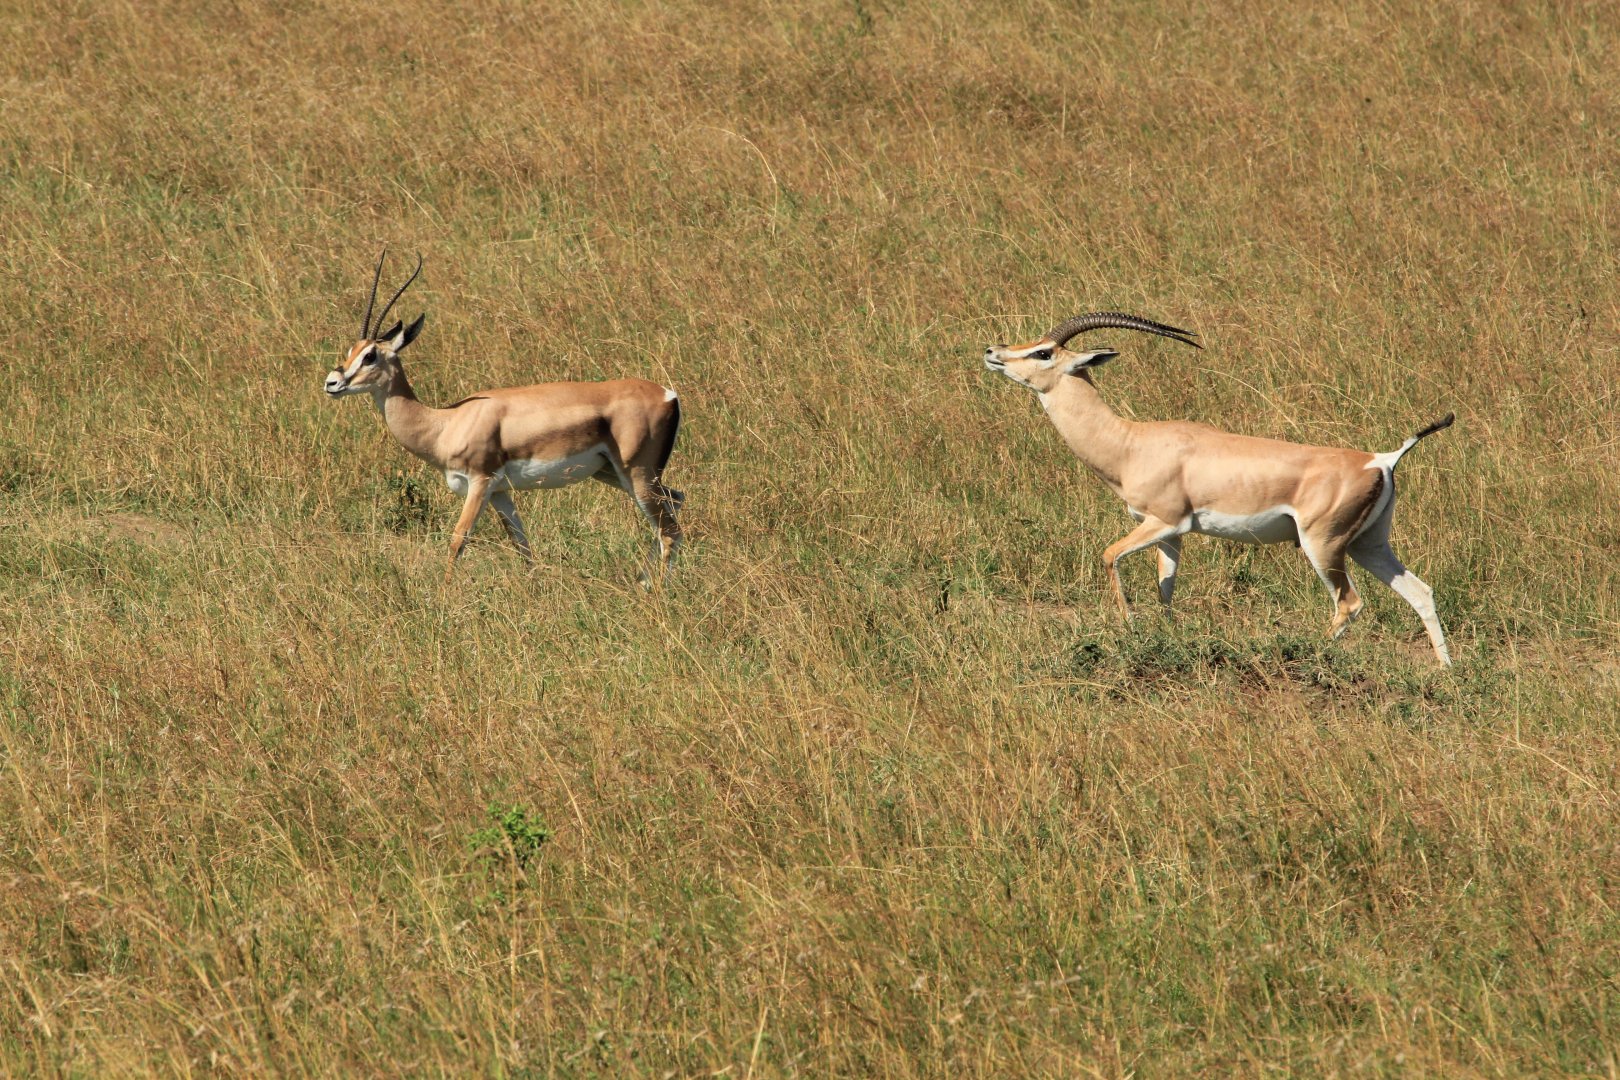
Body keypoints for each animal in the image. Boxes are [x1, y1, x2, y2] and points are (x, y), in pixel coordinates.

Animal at [324, 251, 684, 583]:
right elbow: (521, 544)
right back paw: (642, 582)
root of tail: (668, 394)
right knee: (675, 502)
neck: (445, 423)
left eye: (370, 355)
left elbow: (458, 540)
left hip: (637, 474)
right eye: (351, 351)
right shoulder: (500, 492)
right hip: (613, 474)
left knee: (669, 530)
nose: (332, 382)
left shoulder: (481, 482)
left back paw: (653, 592)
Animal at [983, 313, 1454, 664]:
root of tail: (1382, 459)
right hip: (1368, 545)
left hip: (1323, 545)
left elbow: (1108, 556)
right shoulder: (1170, 535)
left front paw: (1130, 629)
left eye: (1043, 352)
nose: (992, 352)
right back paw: (1446, 671)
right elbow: (1165, 589)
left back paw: (1312, 654)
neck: (1131, 444)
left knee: (1349, 603)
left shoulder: (1163, 521)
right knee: (1421, 592)